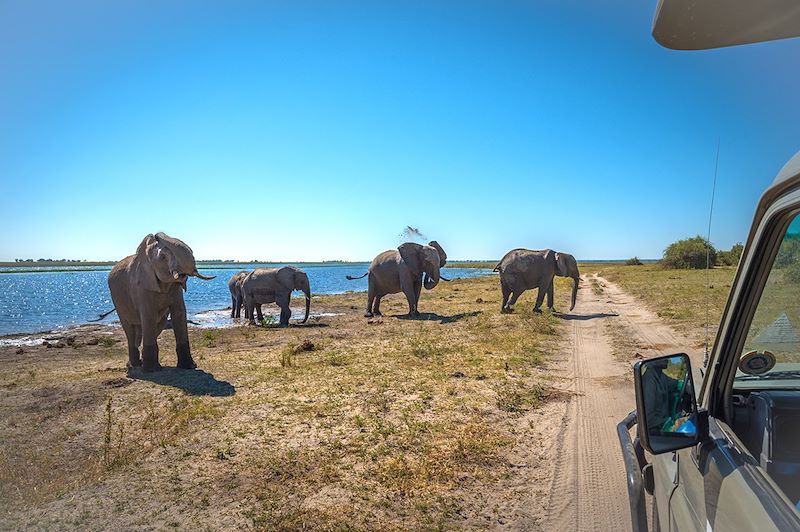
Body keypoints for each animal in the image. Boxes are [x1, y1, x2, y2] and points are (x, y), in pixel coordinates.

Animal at [109, 233, 217, 374]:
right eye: (163, 257)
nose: (155, 235)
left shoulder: (175, 289)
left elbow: (179, 313)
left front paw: (189, 367)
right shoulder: (141, 287)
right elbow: (149, 316)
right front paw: (150, 370)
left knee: (157, 325)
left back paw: (142, 363)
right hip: (117, 302)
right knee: (130, 330)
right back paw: (135, 366)